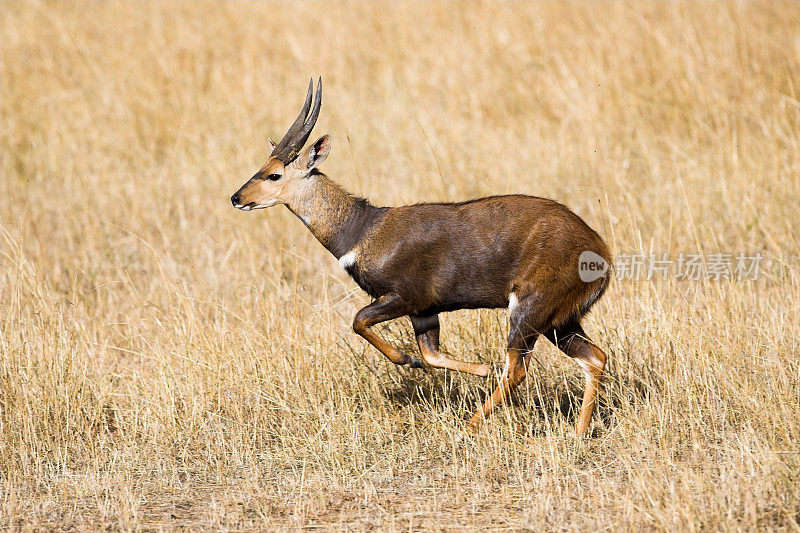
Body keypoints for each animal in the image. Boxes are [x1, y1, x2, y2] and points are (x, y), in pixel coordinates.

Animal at [231, 80, 612, 436]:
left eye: (274, 174)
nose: (237, 198)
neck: (363, 228)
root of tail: (601, 253)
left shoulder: (406, 297)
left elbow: (359, 321)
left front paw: (408, 361)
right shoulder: (425, 312)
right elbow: (431, 353)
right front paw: (473, 368)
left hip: (529, 309)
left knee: (518, 368)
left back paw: (468, 428)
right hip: (559, 321)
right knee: (595, 357)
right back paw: (578, 433)